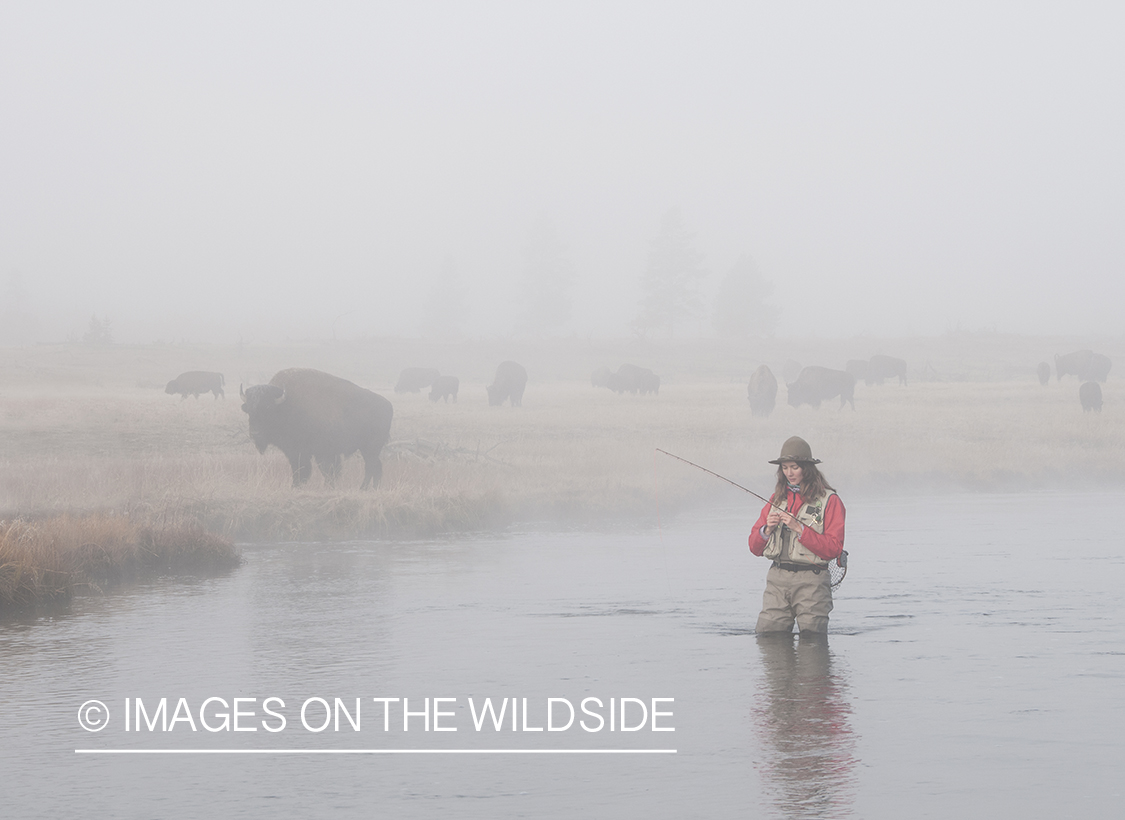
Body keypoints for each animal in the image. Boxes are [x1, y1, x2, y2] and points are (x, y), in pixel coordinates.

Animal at [240, 368, 393, 489]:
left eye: (268, 409)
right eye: (249, 410)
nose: (255, 433)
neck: (286, 405)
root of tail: (387, 404)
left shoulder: (304, 452)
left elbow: (308, 470)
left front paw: (297, 486)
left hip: (370, 449)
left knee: (372, 467)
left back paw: (364, 489)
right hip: (368, 449)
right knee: (375, 467)